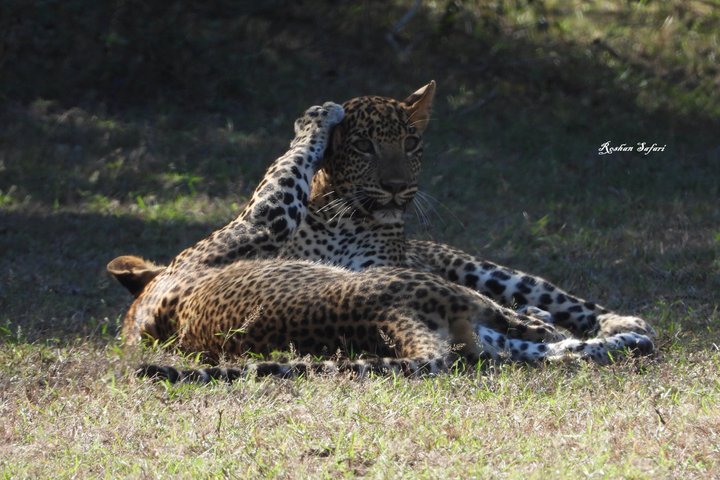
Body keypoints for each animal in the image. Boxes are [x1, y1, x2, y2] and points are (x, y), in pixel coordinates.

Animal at [109, 100, 654, 383]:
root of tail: (387, 321)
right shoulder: (265, 218)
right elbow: (287, 165)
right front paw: (316, 116)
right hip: (446, 290)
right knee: (538, 329)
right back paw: (597, 332)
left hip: (478, 285)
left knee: (562, 321)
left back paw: (619, 329)